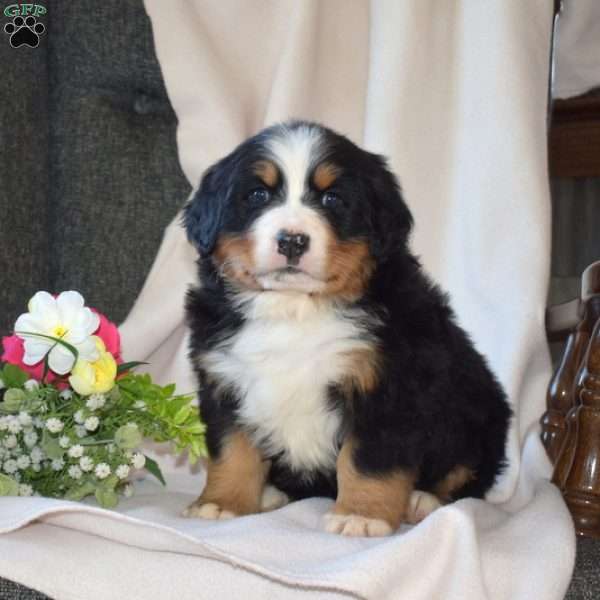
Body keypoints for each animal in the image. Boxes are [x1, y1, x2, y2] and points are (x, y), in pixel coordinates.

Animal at [182, 119, 510, 536]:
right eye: (258, 194)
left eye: (332, 200)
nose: (292, 240)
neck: (296, 309)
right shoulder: (224, 381)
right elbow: (231, 450)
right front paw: (222, 504)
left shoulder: (389, 386)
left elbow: (368, 460)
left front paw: (361, 515)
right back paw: (271, 493)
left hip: (478, 413)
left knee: (465, 477)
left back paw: (421, 500)